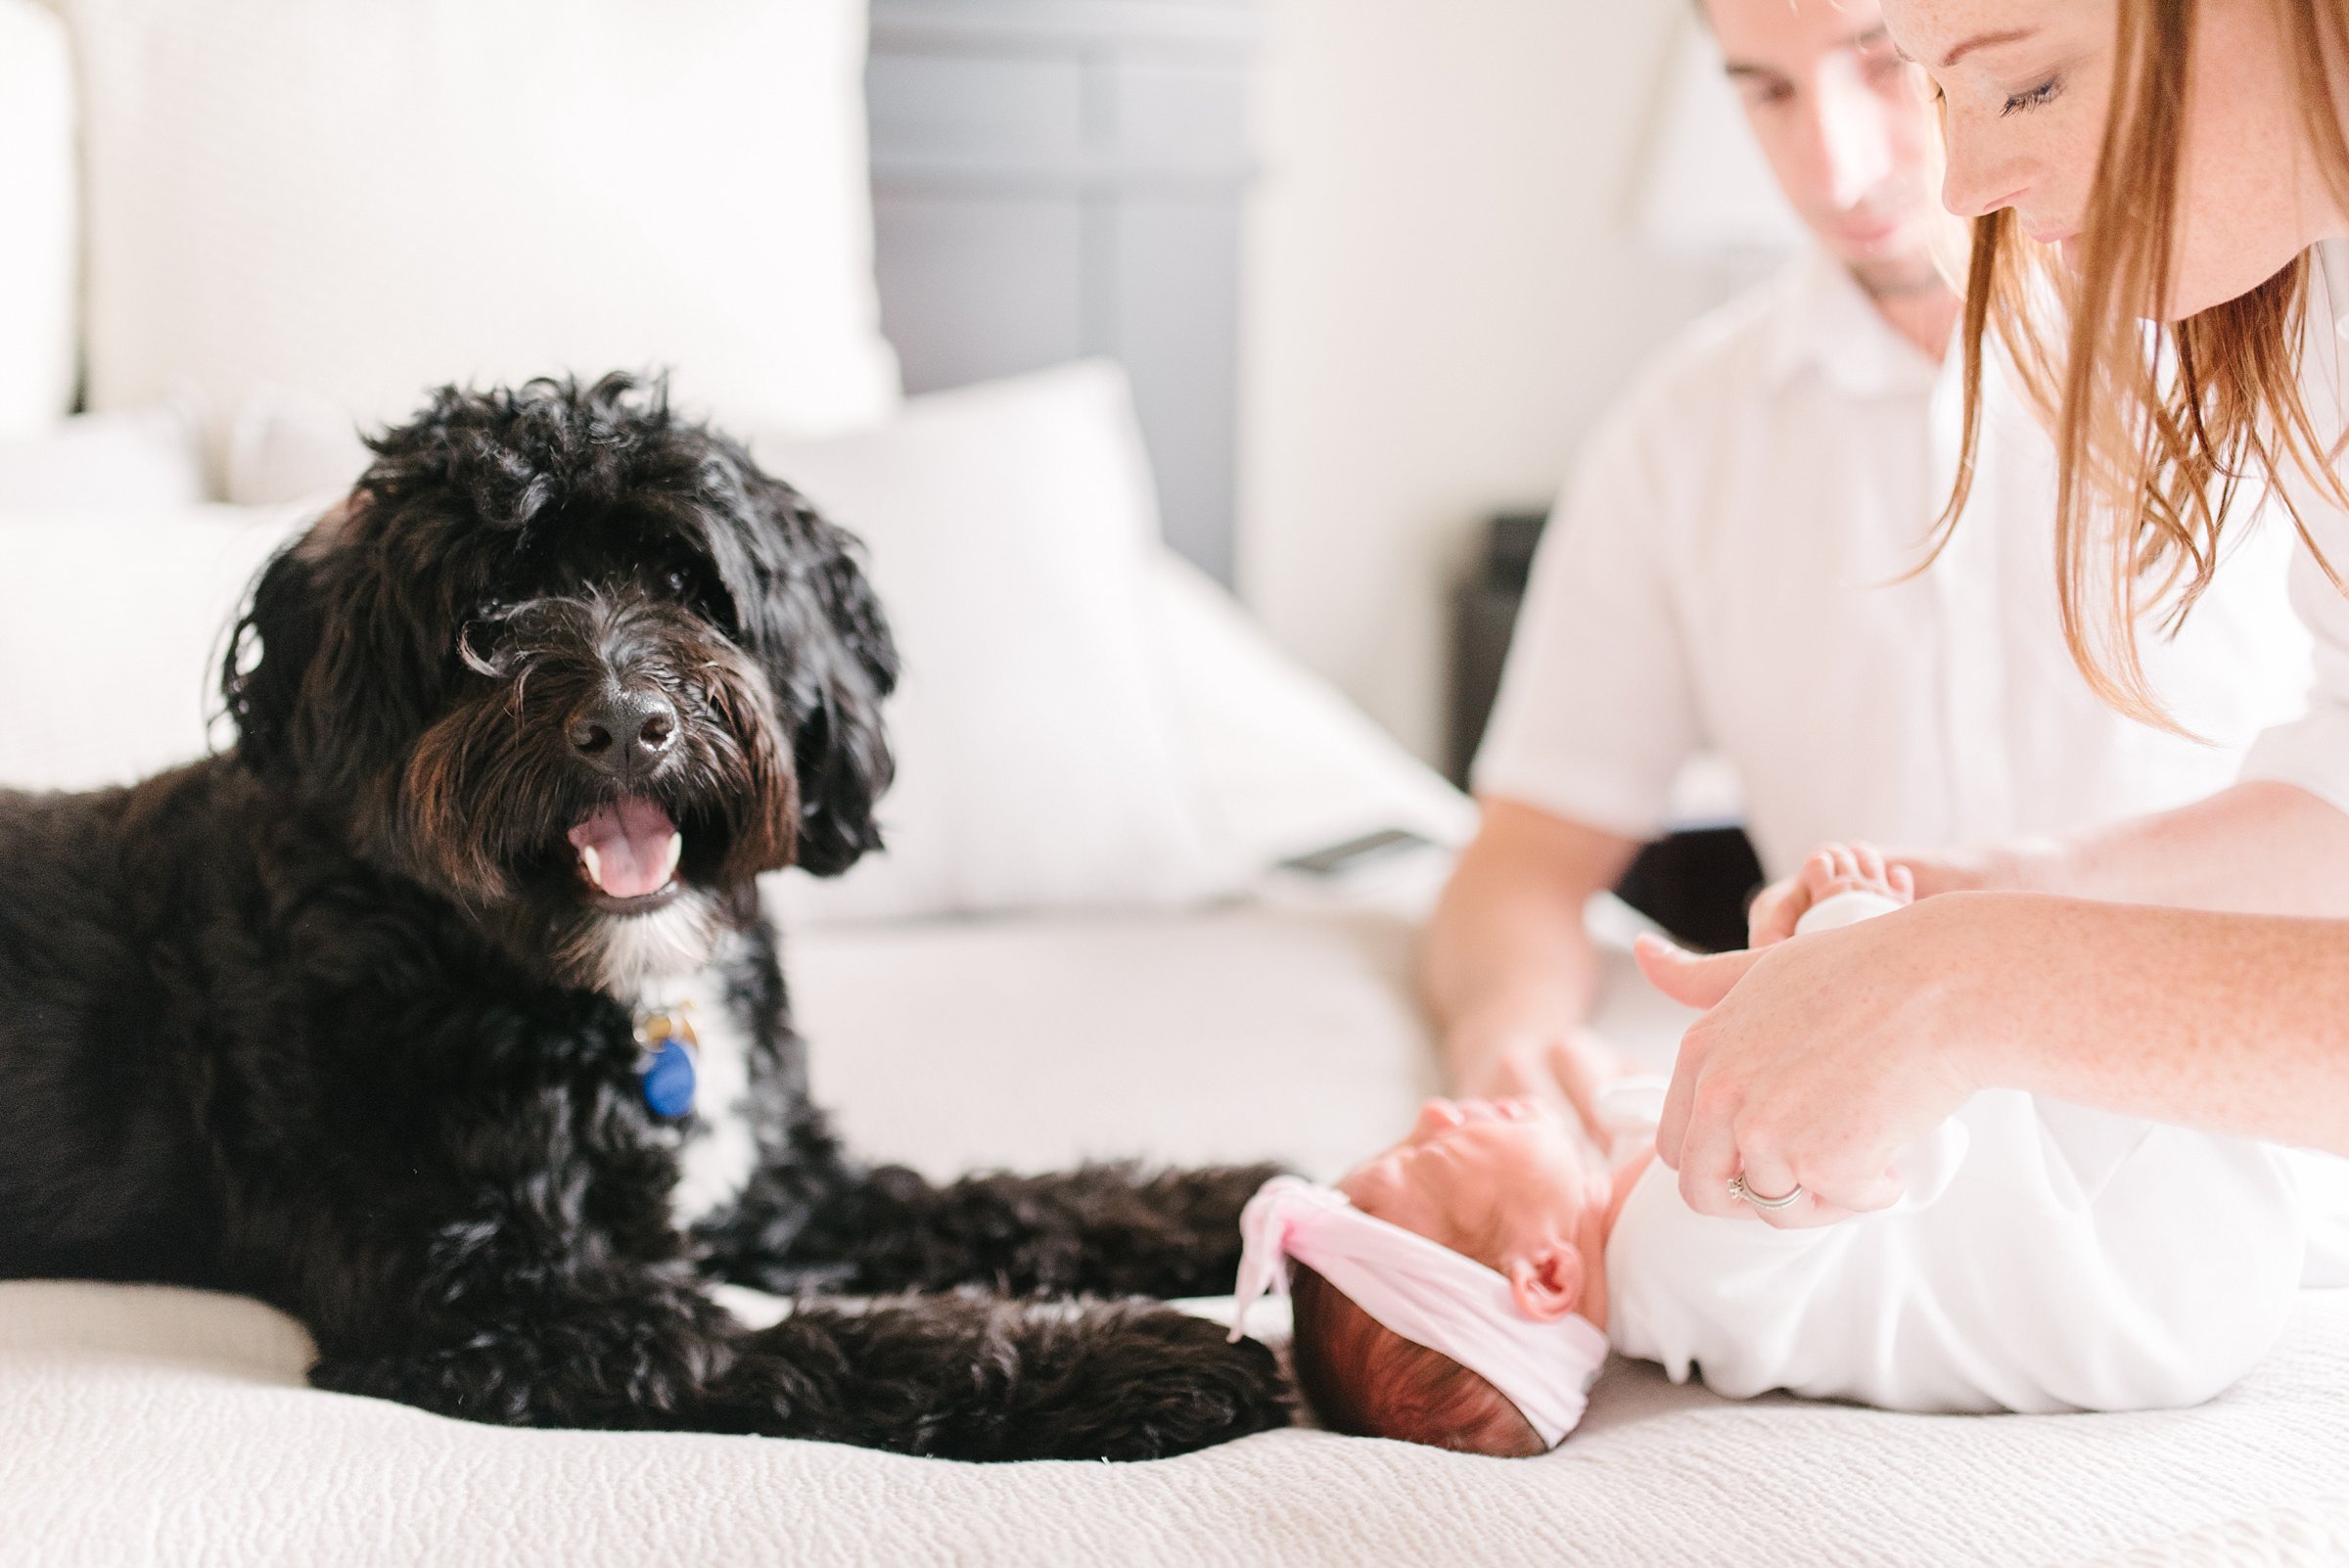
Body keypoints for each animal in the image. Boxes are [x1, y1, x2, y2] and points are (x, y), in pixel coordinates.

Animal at [0, 373, 1287, 1464]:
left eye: (682, 582)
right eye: (485, 610)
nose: (627, 724)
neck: (602, 990)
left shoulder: (780, 1192)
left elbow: (998, 1202)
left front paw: (1220, 1205)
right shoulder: (481, 1308)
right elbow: (819, 1344)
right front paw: (1132, 1362)